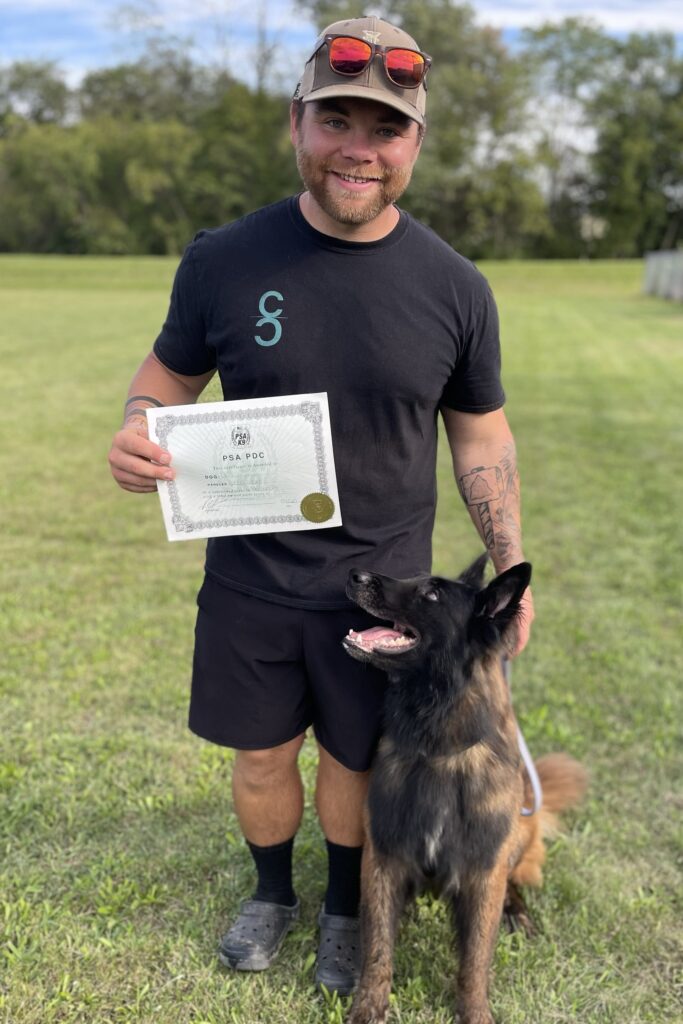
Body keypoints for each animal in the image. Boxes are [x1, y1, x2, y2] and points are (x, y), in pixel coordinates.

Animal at [342, 557, 589, 1024]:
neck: (439, 750)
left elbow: (475, 960)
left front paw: (475, 1013)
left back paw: (517, 913)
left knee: (514, 880)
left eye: (432, 594)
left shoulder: (483, 867)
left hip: (518, 834)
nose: (354, 575)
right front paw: (369, 1007)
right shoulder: (383, 856)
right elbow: (378, 947)